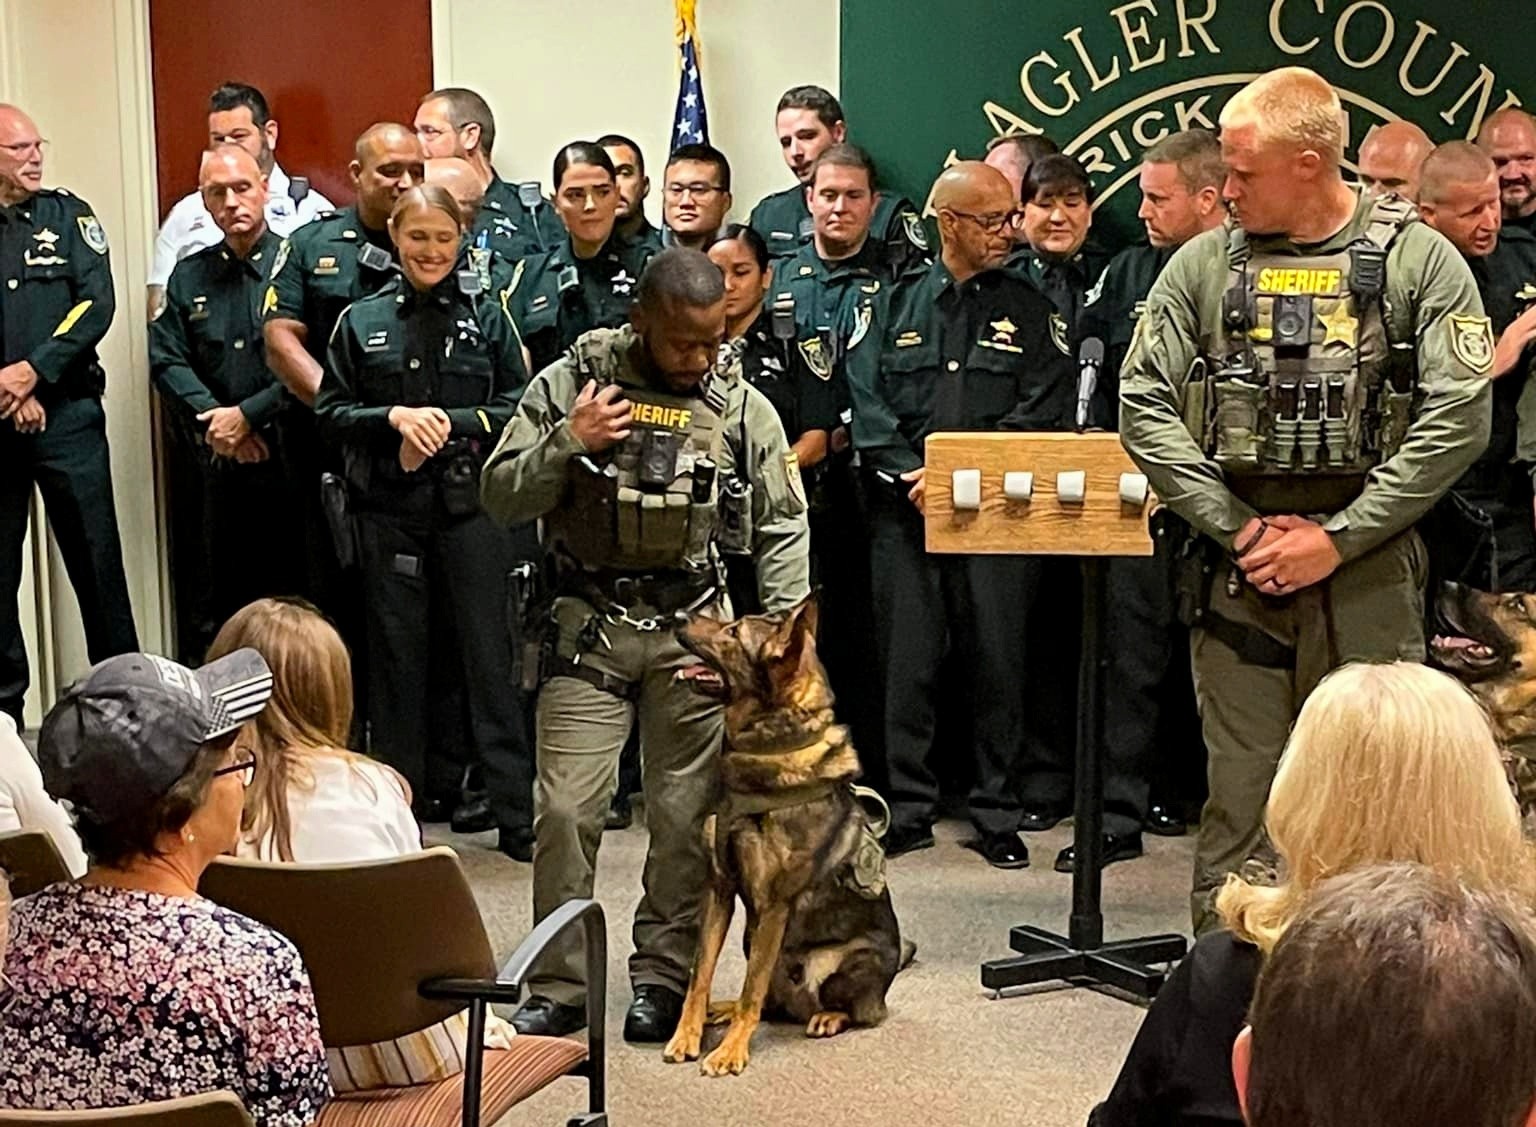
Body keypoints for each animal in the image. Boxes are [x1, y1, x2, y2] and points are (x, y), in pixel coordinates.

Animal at [663, 596, 912, 1077]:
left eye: (733, 632)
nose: (676, 615)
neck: (769, 744)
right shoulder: (719, 889)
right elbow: (700, 974)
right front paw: (687, 1034)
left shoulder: (775, 904)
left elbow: (751, 991)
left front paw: (731, 1051)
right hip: (753, 938)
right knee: (771, 1000)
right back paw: (722, 1011)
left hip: (839, 961)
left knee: (855, 1012)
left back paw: (827, 1017)